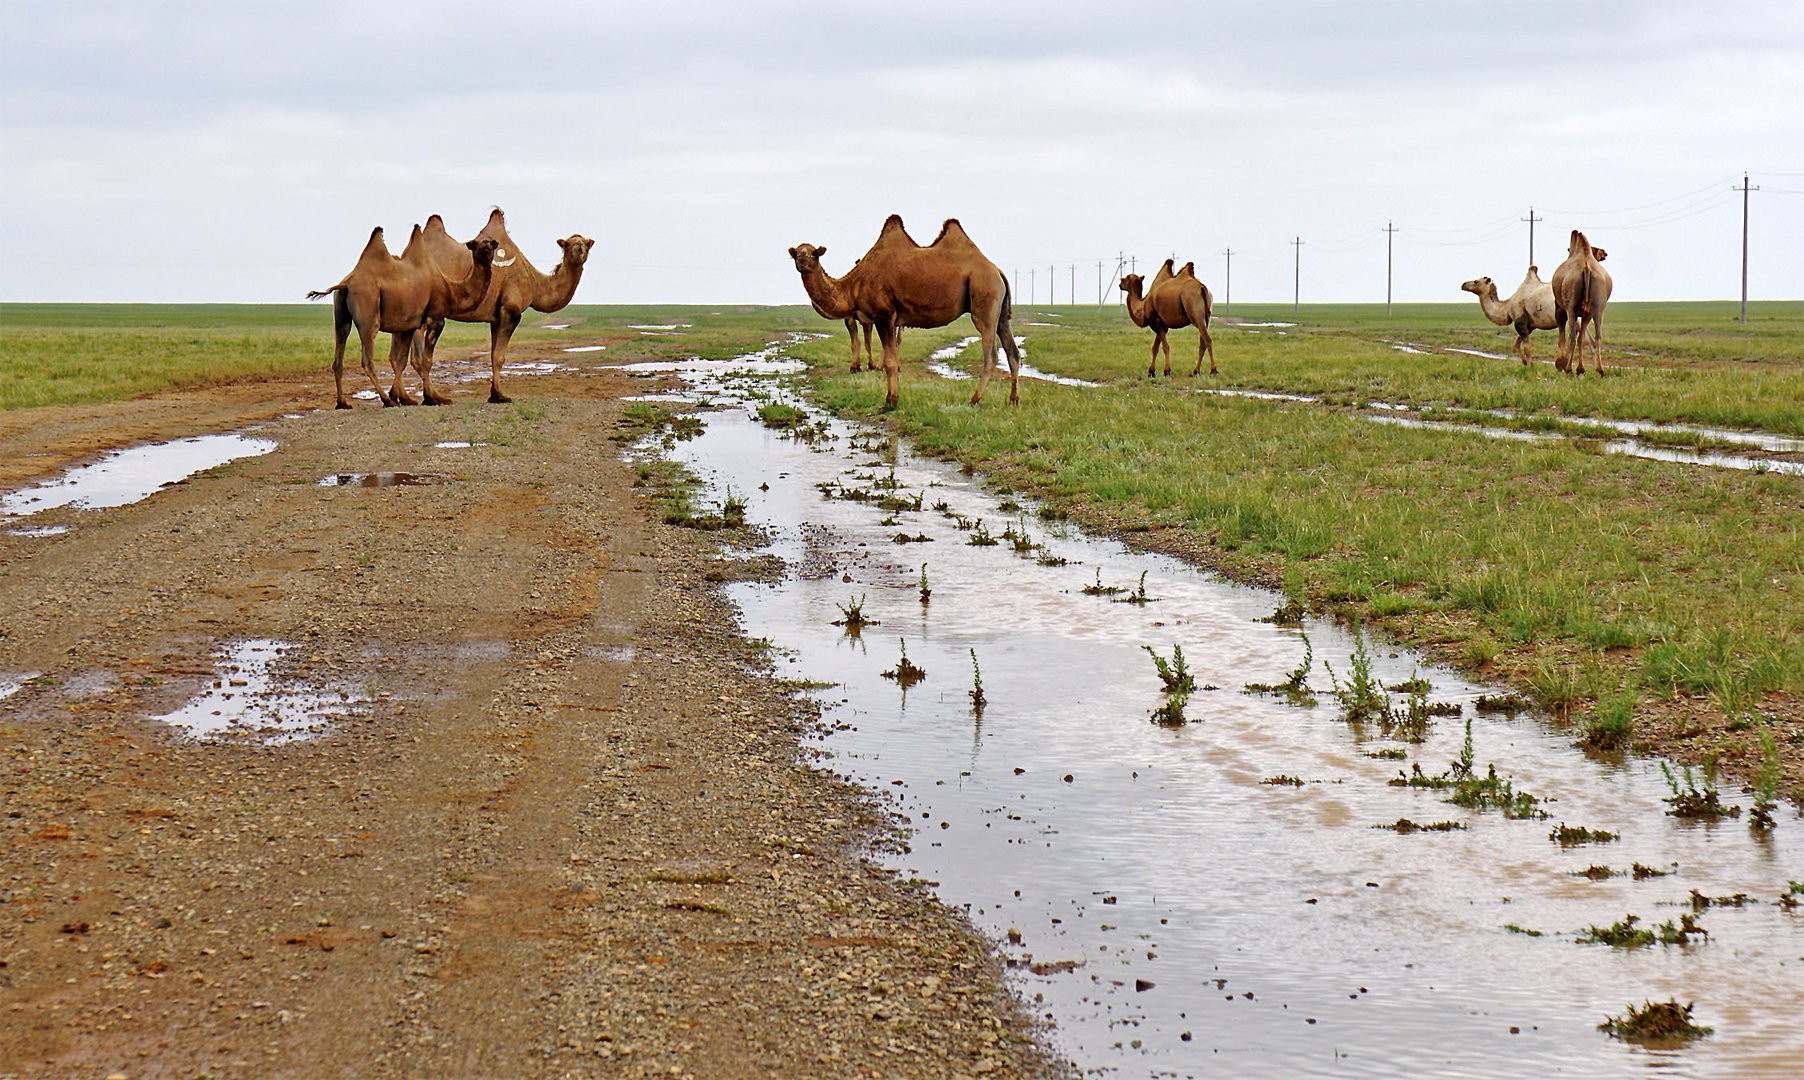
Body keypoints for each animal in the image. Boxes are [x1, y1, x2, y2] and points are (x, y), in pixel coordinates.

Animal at [304, 227, 497, 409]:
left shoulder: (408, 326)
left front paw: (404, 397)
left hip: (341, 317)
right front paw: (429, 398)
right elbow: (426, 360)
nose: (487, 250)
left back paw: (343, 403)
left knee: (338, 355)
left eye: (490, 243)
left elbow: (401, 362)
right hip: (368, 314)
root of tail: (345, 284)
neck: (451, 289)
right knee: (367, 360)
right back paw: (387, 401)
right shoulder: (436, 319)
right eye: (478, 244)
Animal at [409, 209, 591, 403]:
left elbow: (492, 354)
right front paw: (499, 395)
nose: (578, 246)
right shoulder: (511, 311)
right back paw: (431, 397)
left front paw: (494, 393)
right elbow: (499, 356)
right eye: (567, 244)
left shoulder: (496, 317)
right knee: (420, 356)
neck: (534, 282)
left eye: (587, 243)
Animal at [786, 213, 1024, 407]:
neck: (853, 285)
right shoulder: (890, 319)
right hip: (1001, 311)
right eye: (796, 252)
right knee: (1013, 352)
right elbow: (890, 357)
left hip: (984, 299)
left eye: (814, 253)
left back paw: (975, 399)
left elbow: (890, 362)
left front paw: (890, 401)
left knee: (991, 354)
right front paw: (892, 397)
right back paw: (1013, 399)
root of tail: (997, 271)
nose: (802, 260)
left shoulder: (884, 315)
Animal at [1544, 228, 1616, 376]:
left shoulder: (1559, 309)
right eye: (1596, 249)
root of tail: (1587, 268)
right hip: (1598, 308)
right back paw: (1599, 370)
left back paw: (1568, 369)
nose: (1604, 252)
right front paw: (1579, 368)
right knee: (1596, 336)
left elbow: (1562, 337)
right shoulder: (1586, 314)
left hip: (1571, 308)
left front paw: (1560, 363)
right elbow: (1581, 338)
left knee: (1572, 336)